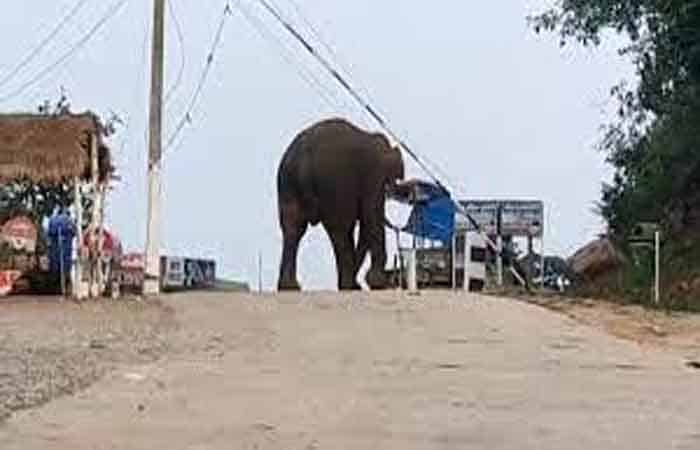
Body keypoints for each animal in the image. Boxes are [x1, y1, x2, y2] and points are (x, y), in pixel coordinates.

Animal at [274, 118, 402, 290]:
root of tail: (304, 158)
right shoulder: (374, 174)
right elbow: (371, 216)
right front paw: (376, 283)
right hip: (334, 182)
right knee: (340, 230)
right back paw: (349, 285)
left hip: (287, 181)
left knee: (293, 229)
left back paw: (290, 287)